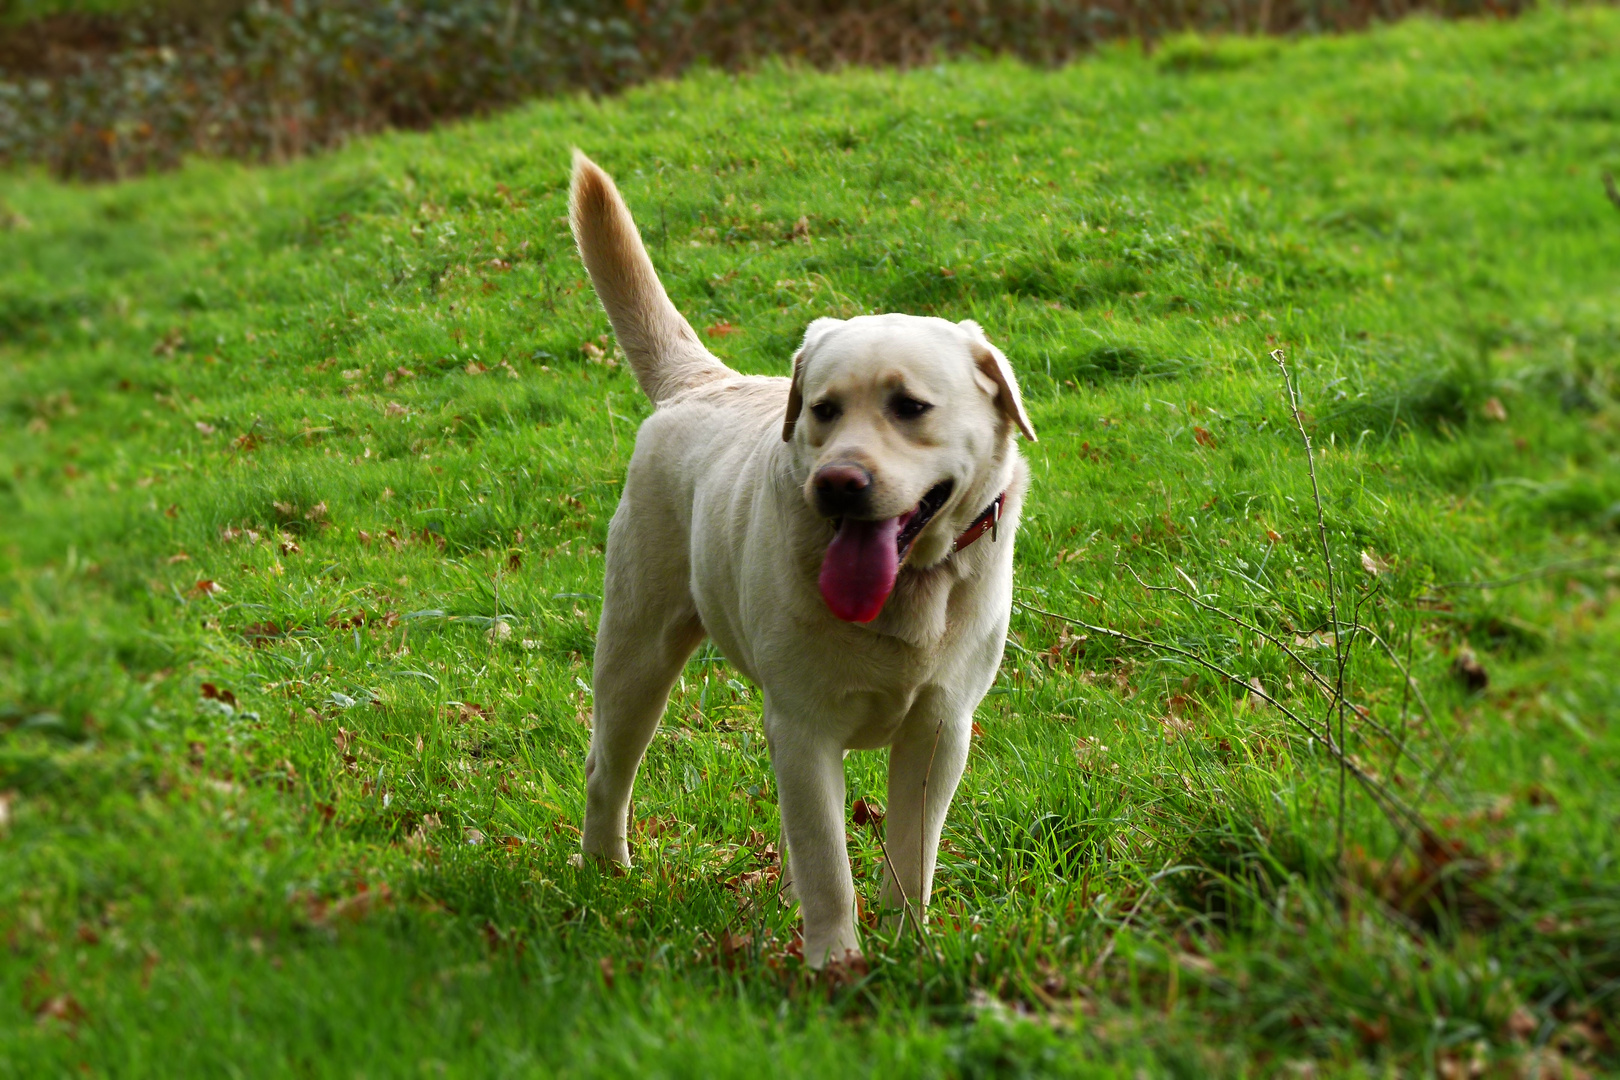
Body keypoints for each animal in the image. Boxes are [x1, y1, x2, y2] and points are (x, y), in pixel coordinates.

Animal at [570, 153, 1036, 971]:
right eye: (823, 409)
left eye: (910, 407)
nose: (838, 482)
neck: (906, 597)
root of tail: (705, 381)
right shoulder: (806, 724)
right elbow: (829, 863)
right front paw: (836, 964)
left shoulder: (941, 729)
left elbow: (908, 856)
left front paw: (908, 948)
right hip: (636, 654)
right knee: (608, 769)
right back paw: (605, 873)